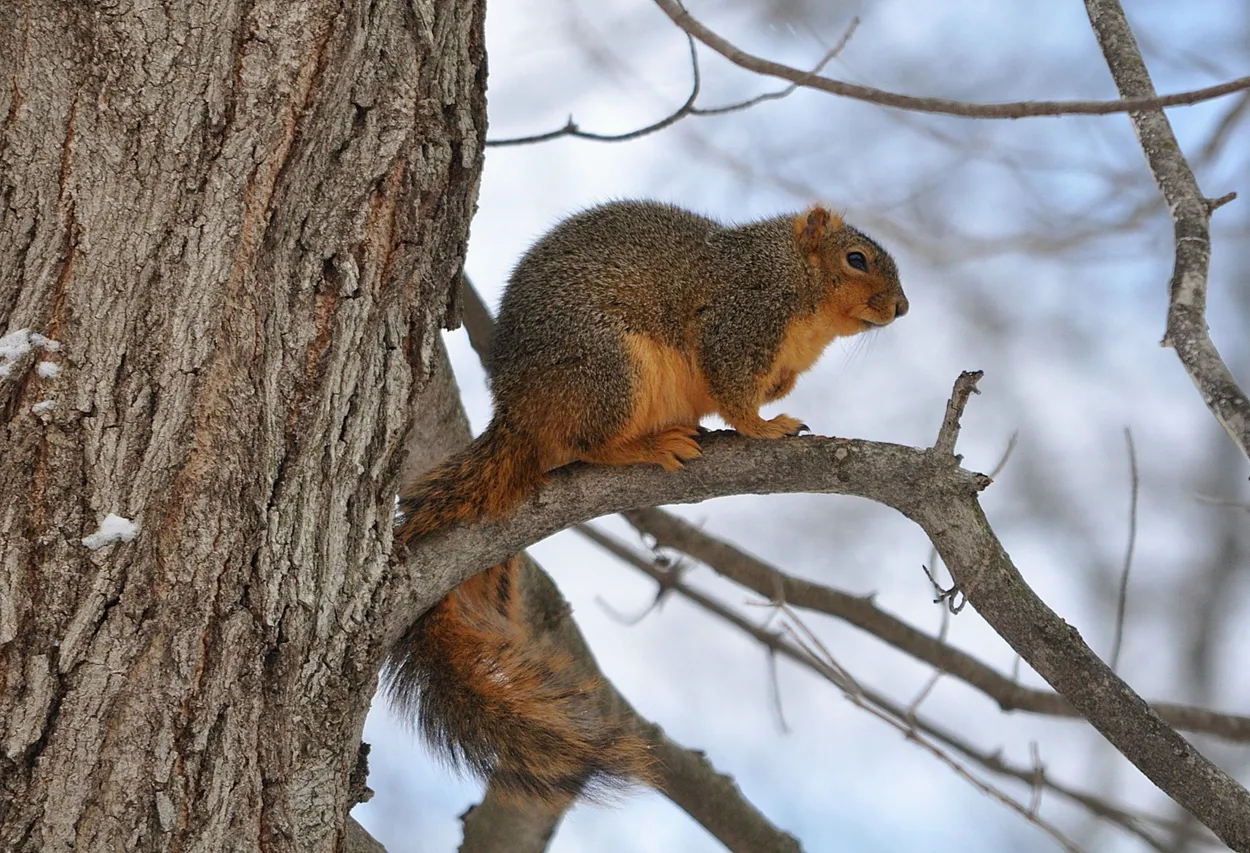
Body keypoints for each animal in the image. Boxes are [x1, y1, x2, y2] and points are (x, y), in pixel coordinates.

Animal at [386, 200, 907, 806]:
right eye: (856, 259)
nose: (902, 307)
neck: (794, 279)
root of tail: (521, 413)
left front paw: (777, 397)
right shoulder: (739, 320)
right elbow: (734, 392)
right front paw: (765, 426)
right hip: (610, 370)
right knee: (592, 441)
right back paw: (649, 444)